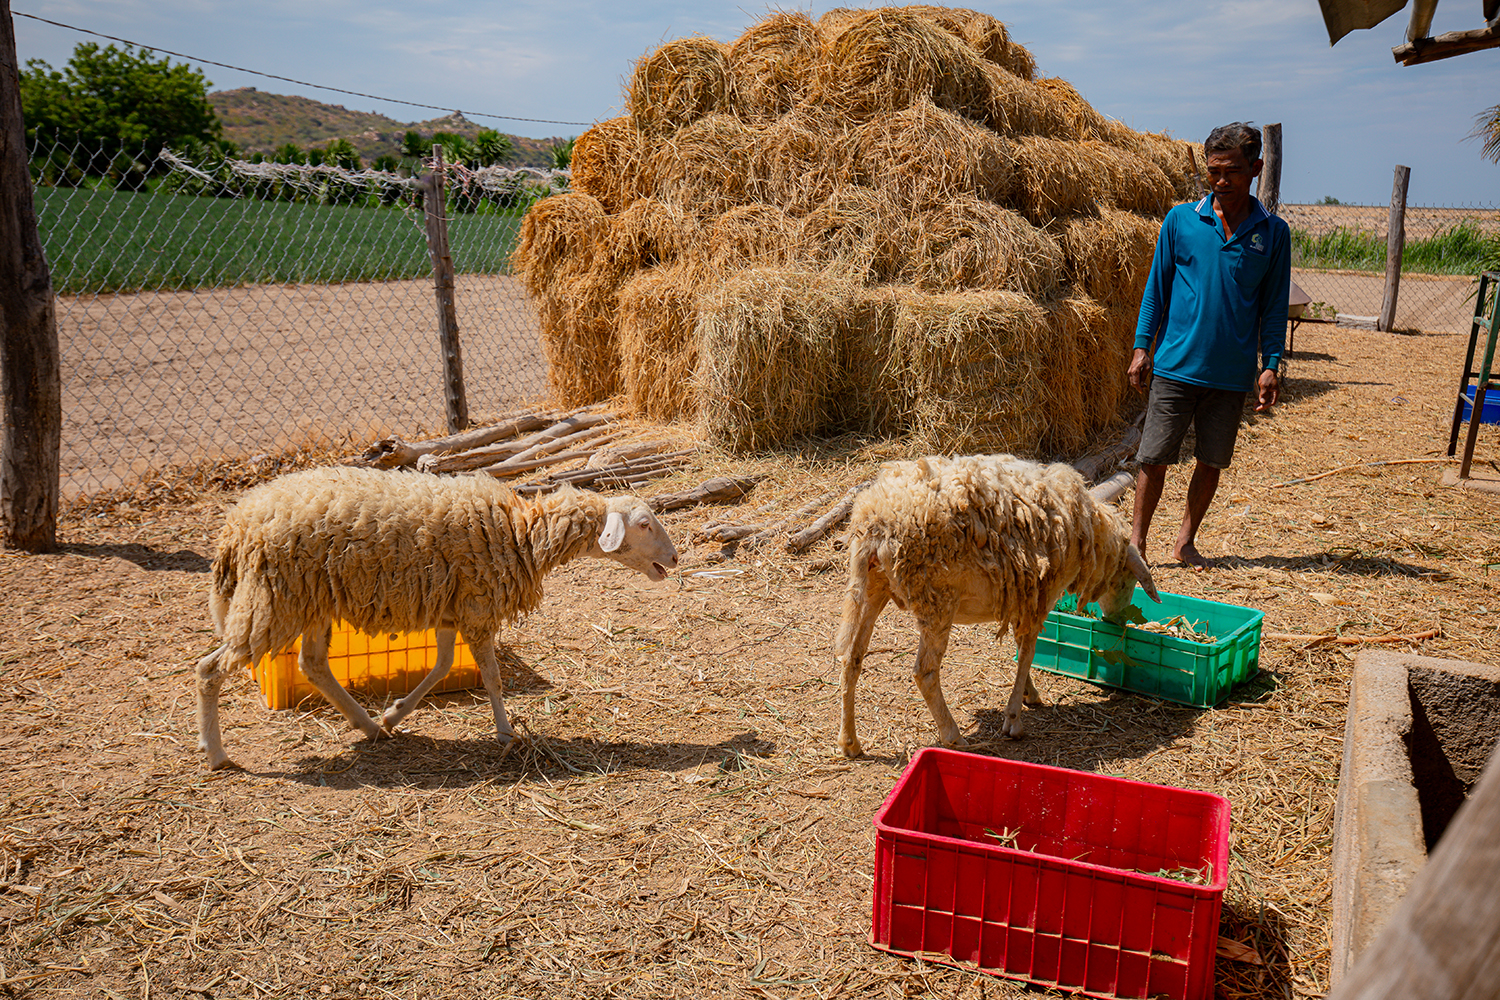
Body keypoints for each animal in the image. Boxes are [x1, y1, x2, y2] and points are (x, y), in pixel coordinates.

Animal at [193, 464, 681, 773]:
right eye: (643, 524)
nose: (676, 559)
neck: (522, 531)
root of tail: (236, 523)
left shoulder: (452, 608)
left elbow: (443, 666)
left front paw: (394, 714)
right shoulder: (478, 607)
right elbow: (492, 677)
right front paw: (507, 734)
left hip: (310, 601)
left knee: (312, 664)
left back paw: (369, 727)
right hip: (274, 599)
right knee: (209, 668)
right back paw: (216, 754)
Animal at [834, 455, 1158, 758]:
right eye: (1127, 581)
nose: (1118, 621)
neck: (1087, 533)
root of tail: (874, 520)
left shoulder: (1023, 592)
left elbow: (1019, 646)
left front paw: (1029, 693)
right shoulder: (1042, 594)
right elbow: (1027, 652)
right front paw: (1014, 719)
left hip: (873, 588)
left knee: (851, 658)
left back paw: (849, 742)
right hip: (935, 598)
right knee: (924, 672)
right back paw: (953, 735)